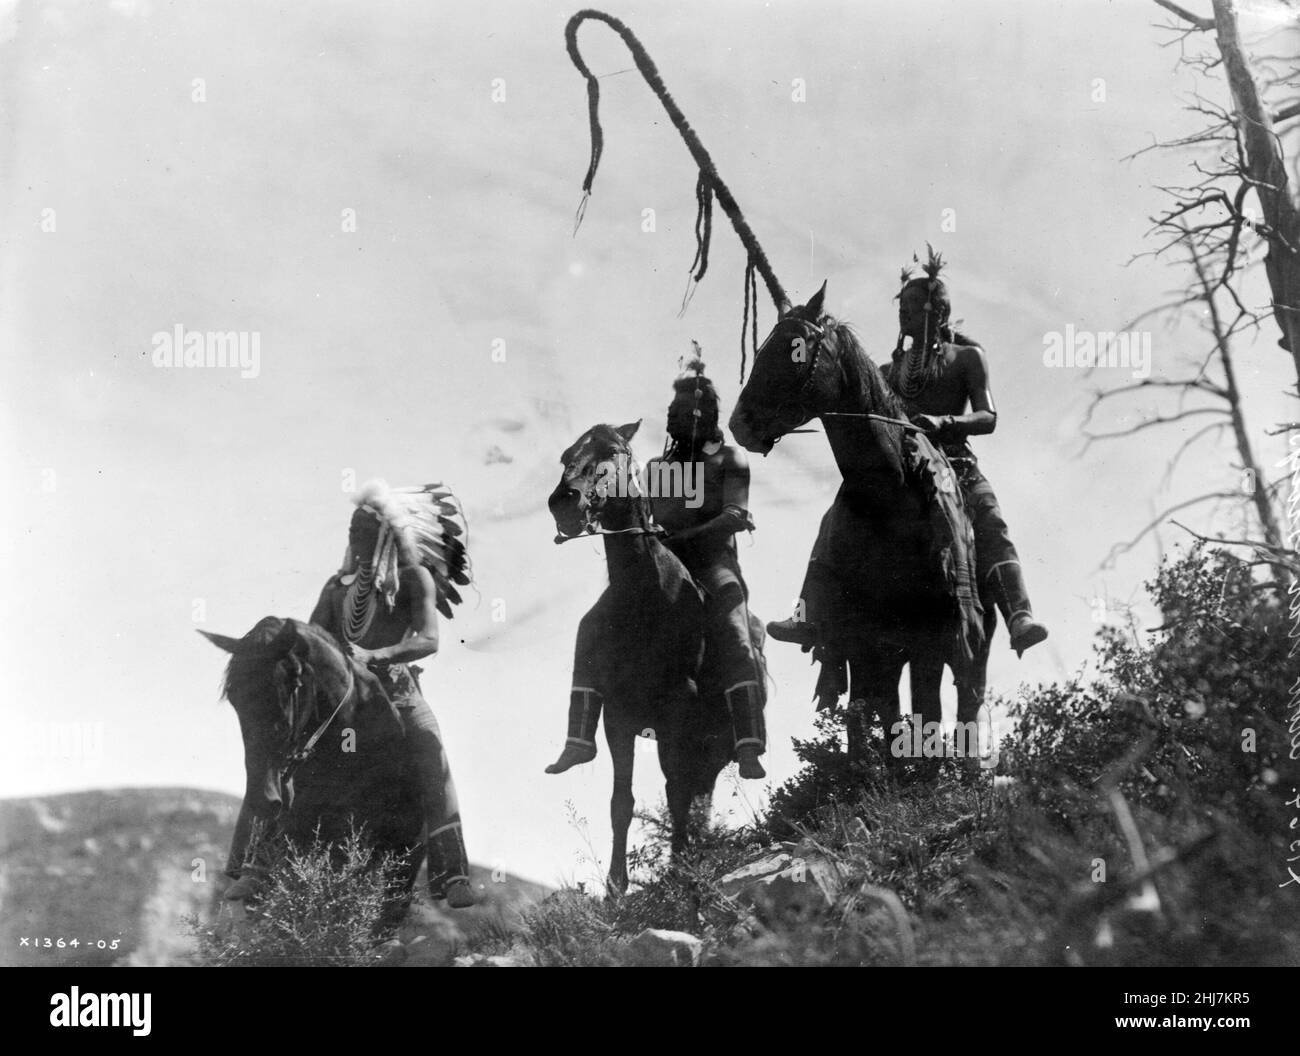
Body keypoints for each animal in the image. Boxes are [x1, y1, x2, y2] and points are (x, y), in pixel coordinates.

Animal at [546, 421, 754, 889]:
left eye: (612, 451)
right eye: (566, 454)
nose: (564, 500)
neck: (646, 597)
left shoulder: (676, 712)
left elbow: (675, 794)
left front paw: (678, 872)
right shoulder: (617, 717)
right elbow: (621, 801)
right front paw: (614, 887)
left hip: (712, 745)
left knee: (694, 797)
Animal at [728, 284, 987, 769]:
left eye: (793, 349)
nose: (740, 423)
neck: (888, 500)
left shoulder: (928, 642)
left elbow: (926, 718)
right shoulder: (863, 644)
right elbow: (867, 723)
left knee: (965, 705)